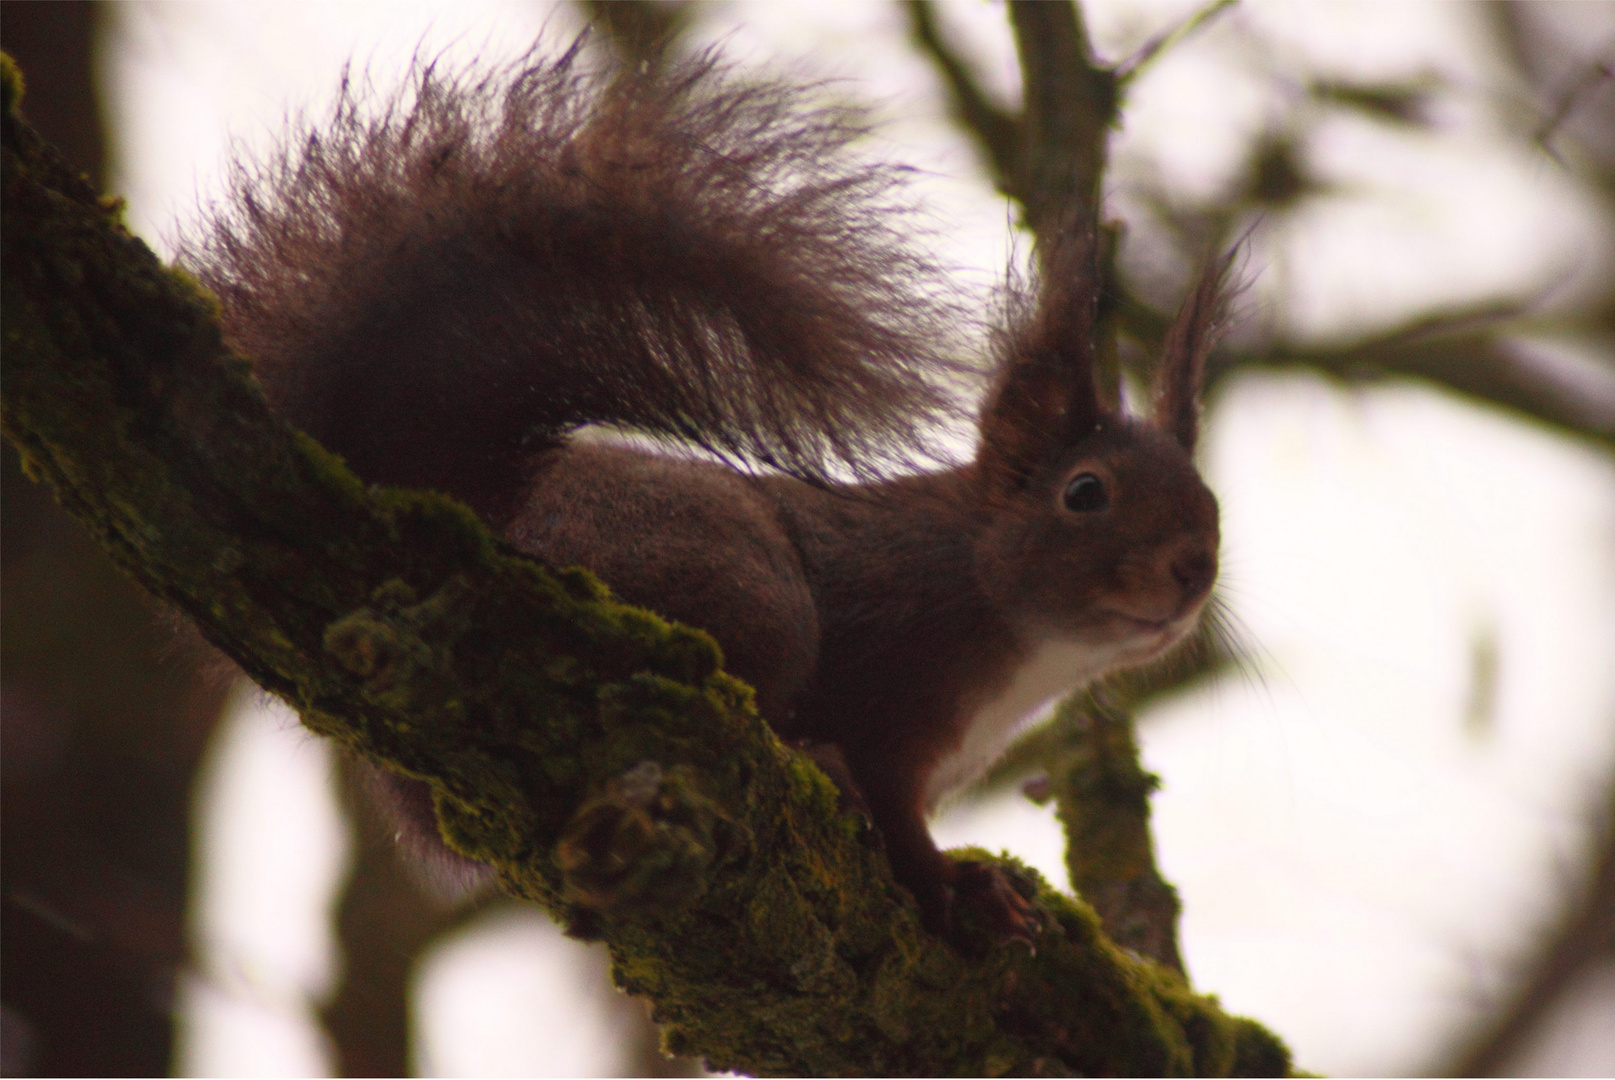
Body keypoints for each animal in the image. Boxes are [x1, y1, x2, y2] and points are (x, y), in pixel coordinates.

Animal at [185, 44, 1220, 936]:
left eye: (1209, 501)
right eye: (1084, 494)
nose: (1192, 570)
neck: (1001, 610)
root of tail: (456, 517)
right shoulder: (893, 674)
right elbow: (894, 811)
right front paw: (957, 885)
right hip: (740, 587)